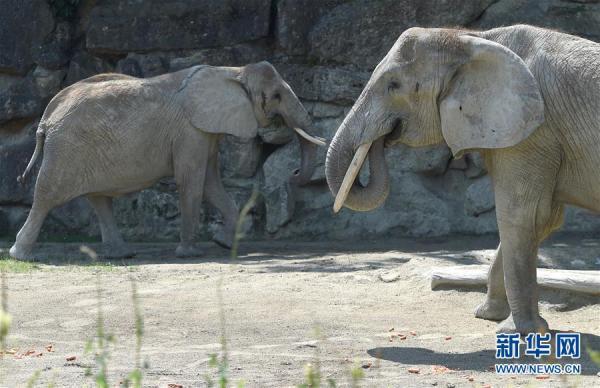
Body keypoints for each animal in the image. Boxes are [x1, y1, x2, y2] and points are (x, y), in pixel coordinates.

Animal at [10, 60, 328, 260]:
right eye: (275, 96)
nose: (293, 173)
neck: (232, 71)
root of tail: (47, 115)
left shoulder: (204, 131)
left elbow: (211, 182)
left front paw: (224, 243)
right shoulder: (190, 130)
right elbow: (192, 181)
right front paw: (191, 253)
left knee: (99, 200)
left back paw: (123, 254)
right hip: (66, 149)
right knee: (47, 195)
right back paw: (21, 256)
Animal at [326, 24, 600, 334]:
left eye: (393, 85)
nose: (382, 137)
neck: (471, 38)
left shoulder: (534, 134)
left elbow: (523, 217)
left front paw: (522, 331)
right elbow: (543, 221)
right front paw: (487, 315)